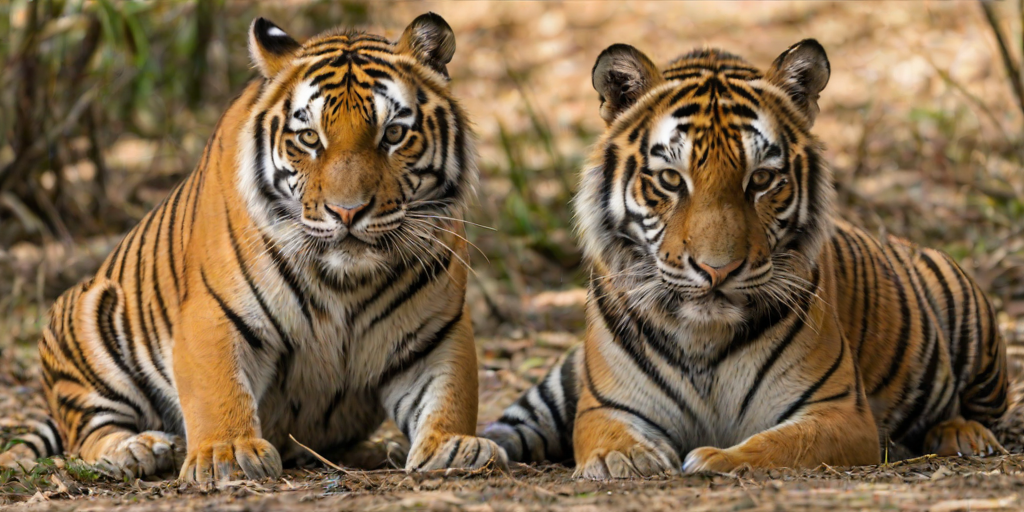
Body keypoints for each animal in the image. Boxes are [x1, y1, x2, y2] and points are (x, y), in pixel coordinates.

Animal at [5, 13, 508, 484]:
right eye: (309, 138)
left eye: (393, 134)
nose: (347, 212)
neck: (345, 280)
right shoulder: (213, 313)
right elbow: (219, 389)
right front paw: (226, 453)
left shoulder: (438, 330)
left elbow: (451, 391)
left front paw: (454, 446)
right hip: (85, 312)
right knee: (88, 430)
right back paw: (137, 448)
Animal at [482, 40, 1010, 478]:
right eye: (670, 179)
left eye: (761, 179)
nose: (717, 270)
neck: (702, 340)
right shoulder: (606, 406)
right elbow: (605, 435)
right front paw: (623, 460)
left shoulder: (839, 410)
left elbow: (777, 445)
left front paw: (712, 458)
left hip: (972, 317)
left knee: (980, 410)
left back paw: (964, 435)